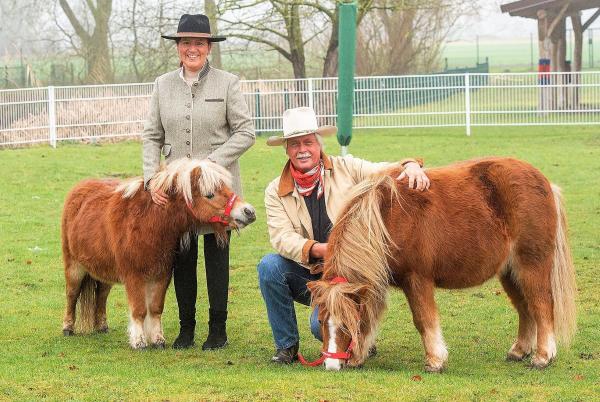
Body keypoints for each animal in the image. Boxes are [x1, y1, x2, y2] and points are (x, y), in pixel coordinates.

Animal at [61, 158, 255, 348]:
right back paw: (67, 328)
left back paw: (101, 326)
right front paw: (139, 341)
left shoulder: (162, 275)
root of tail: (79, 189)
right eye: (209, 194)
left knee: (101, 296)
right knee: (71, 295)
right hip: (74, 267)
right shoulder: (134, 277)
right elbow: (139, 310)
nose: (249, 212)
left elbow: (155, 308)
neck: (148, 222)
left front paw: (157, 339)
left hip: (104, 272)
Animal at [310, 159, 576, 372]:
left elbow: (423, 319)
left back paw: (543, 357)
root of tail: (545, 182)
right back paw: (519, 351)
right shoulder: (377, 282)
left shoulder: (417, 279)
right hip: (510, 272)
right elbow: (368, 317)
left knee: (541, 305)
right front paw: (358, 358)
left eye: (345, 325)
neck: (386, 217)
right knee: (524, 308)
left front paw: (435, 361)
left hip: (531, 265)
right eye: (321, 321)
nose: (332, 365)